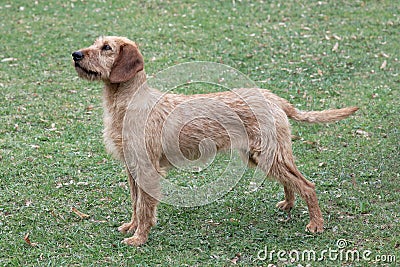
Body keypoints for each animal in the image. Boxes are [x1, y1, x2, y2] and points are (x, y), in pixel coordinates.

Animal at [72, 36, 360, 247]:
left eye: (106, 48)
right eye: (96, 44)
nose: (75, 54)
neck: (127, 102)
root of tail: (274, 98)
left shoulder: (147, 168)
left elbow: (144, 207)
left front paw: (139, 238)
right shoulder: (132, 167)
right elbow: (135, 203)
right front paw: (131, 227)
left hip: (270, 154)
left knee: (307, 185)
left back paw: (316, 224)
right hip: (264, 156)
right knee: (293, 182)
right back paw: (288, 204)